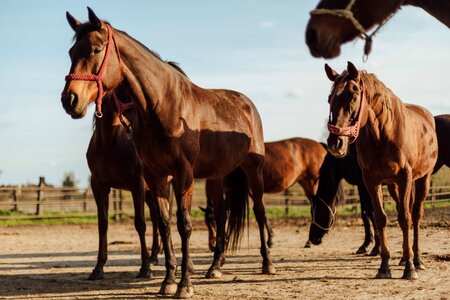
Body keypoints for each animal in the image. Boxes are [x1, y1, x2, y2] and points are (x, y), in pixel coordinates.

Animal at [85, 90, 160, 280]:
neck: (110, 143)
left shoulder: (137, 184)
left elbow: (140, 223)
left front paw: (145, 268)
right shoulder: (99, 186)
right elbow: (102, 224)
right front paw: (98, 268)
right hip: (150, 194)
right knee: (157, 218)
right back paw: (155, 255)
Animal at [326, 62, 438, 280]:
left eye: (353, 96)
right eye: (330, 98)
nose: (336, 143)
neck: (383, 133)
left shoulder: (405, 177)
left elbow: (405, 218)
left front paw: (409, 268)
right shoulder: (371, 180)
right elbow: (380, 218)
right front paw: (385, 266)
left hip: (423, 180)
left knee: (415, 214)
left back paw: (417, 259)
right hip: (394, 186)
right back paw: (403, 257)